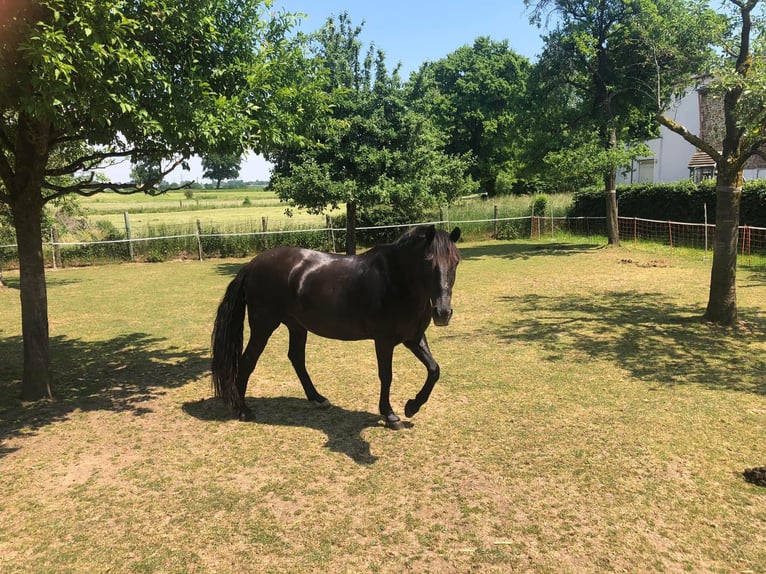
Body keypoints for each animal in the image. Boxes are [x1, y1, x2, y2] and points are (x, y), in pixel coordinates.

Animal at [210, 224, 461, 430]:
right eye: (428, 261)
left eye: (456, 261)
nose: (442, 313)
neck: (395, 280)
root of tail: (251, 266)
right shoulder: (384, 342)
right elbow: (386, 375)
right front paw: (390, 415)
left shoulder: (414, 338)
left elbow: (434, 370)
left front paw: (412, 406)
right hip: (263, 326)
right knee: (247, 361)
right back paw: (243, 410)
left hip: (297, 327)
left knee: (296, 358)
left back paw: (318, 399)